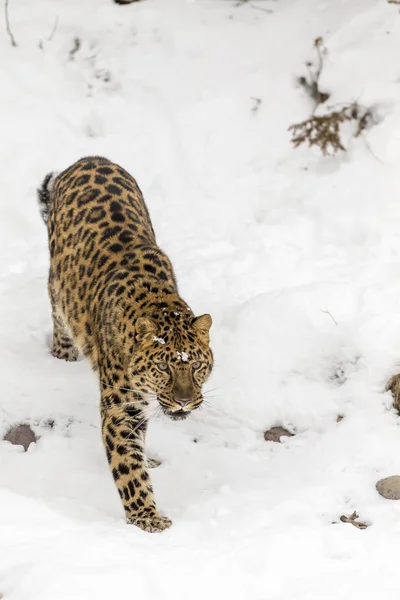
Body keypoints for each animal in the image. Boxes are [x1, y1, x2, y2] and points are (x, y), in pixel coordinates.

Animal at [36, 157, 214, 532]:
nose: (183, 401)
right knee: (57, 311)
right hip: (58, 285)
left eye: (196, 365)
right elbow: (127, 468)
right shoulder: (121, 408)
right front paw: (147, 517)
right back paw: (63, 354)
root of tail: (89, 158)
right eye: (162, 366)